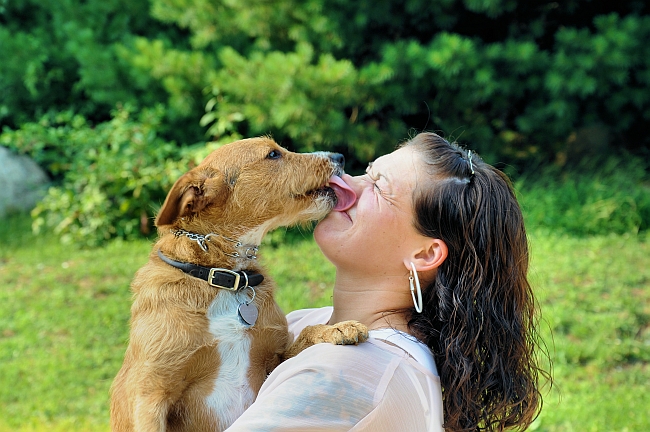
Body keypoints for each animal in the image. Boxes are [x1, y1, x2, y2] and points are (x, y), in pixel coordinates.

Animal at [110, 138, 364, 432]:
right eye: (273, 154)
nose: (339, 156)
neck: (225, 280)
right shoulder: (151, 394)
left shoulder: (272, 363)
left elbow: (304, 334)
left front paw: (336, 328)